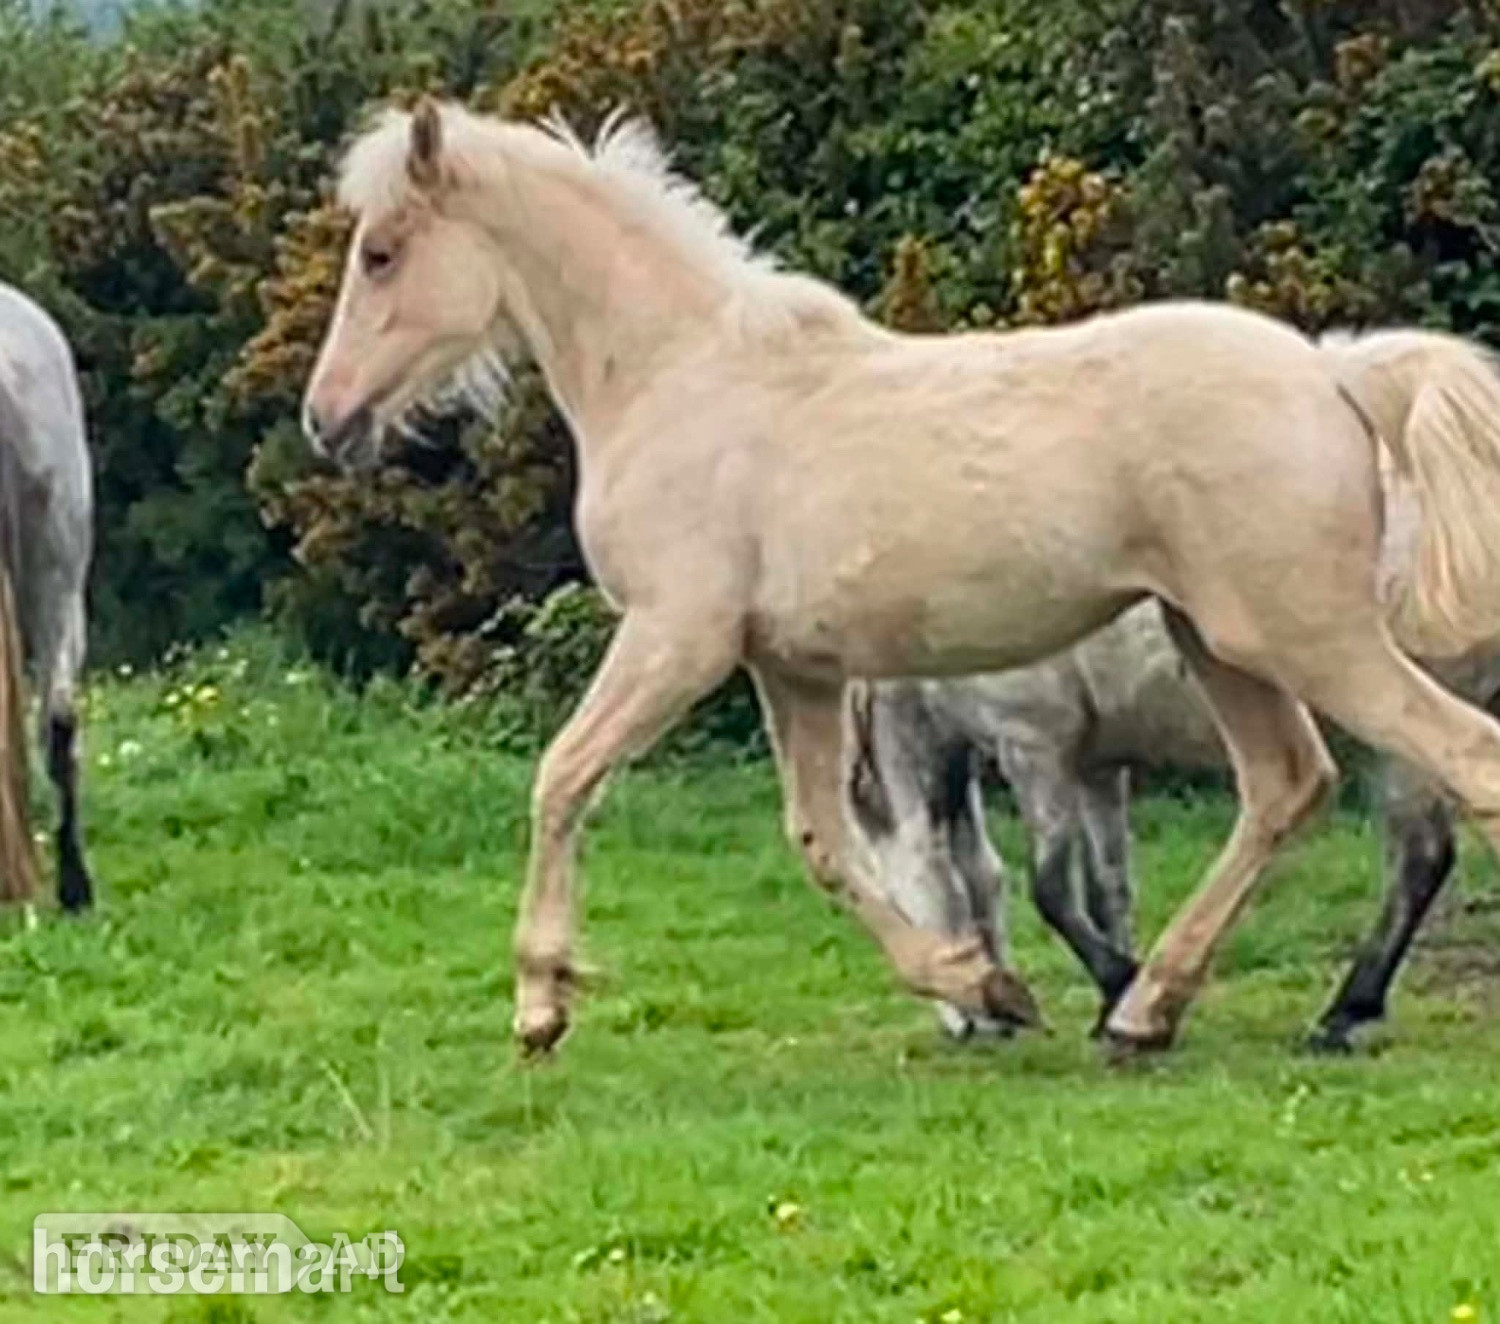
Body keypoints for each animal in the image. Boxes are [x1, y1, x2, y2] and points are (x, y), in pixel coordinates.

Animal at [845, 592, 1500, 1051]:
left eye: (897, 911)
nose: (971, 1027)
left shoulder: (1034, 746)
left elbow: (1052, 891)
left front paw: (1122, 985)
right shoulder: (1098, 769)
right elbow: (1106, 890)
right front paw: (1114, 1002)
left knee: (1419, 858)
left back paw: (1345, 1015)